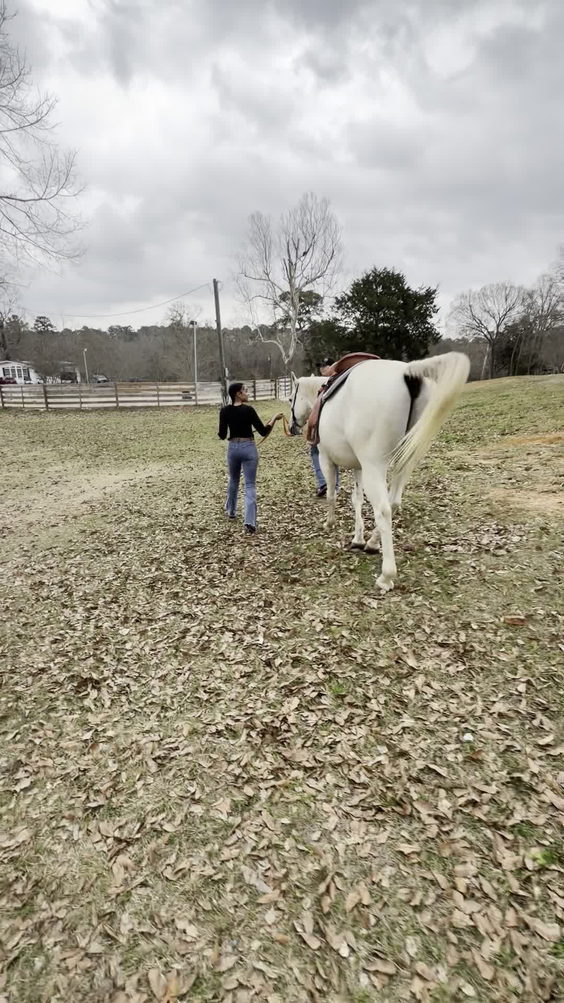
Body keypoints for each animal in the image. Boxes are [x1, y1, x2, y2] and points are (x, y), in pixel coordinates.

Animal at [289, 352, 470, 592]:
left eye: (290, 398)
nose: (291, 427)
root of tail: (407, 372)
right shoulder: (358, 467)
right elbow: (357, 500)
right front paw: (358, 538)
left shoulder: (326, 459)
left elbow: (331, 496)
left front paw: (329, 523)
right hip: (403, 461)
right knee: (393, 502)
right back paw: (373, 543)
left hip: (374, 466)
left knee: (384, 510)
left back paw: (386, 575)